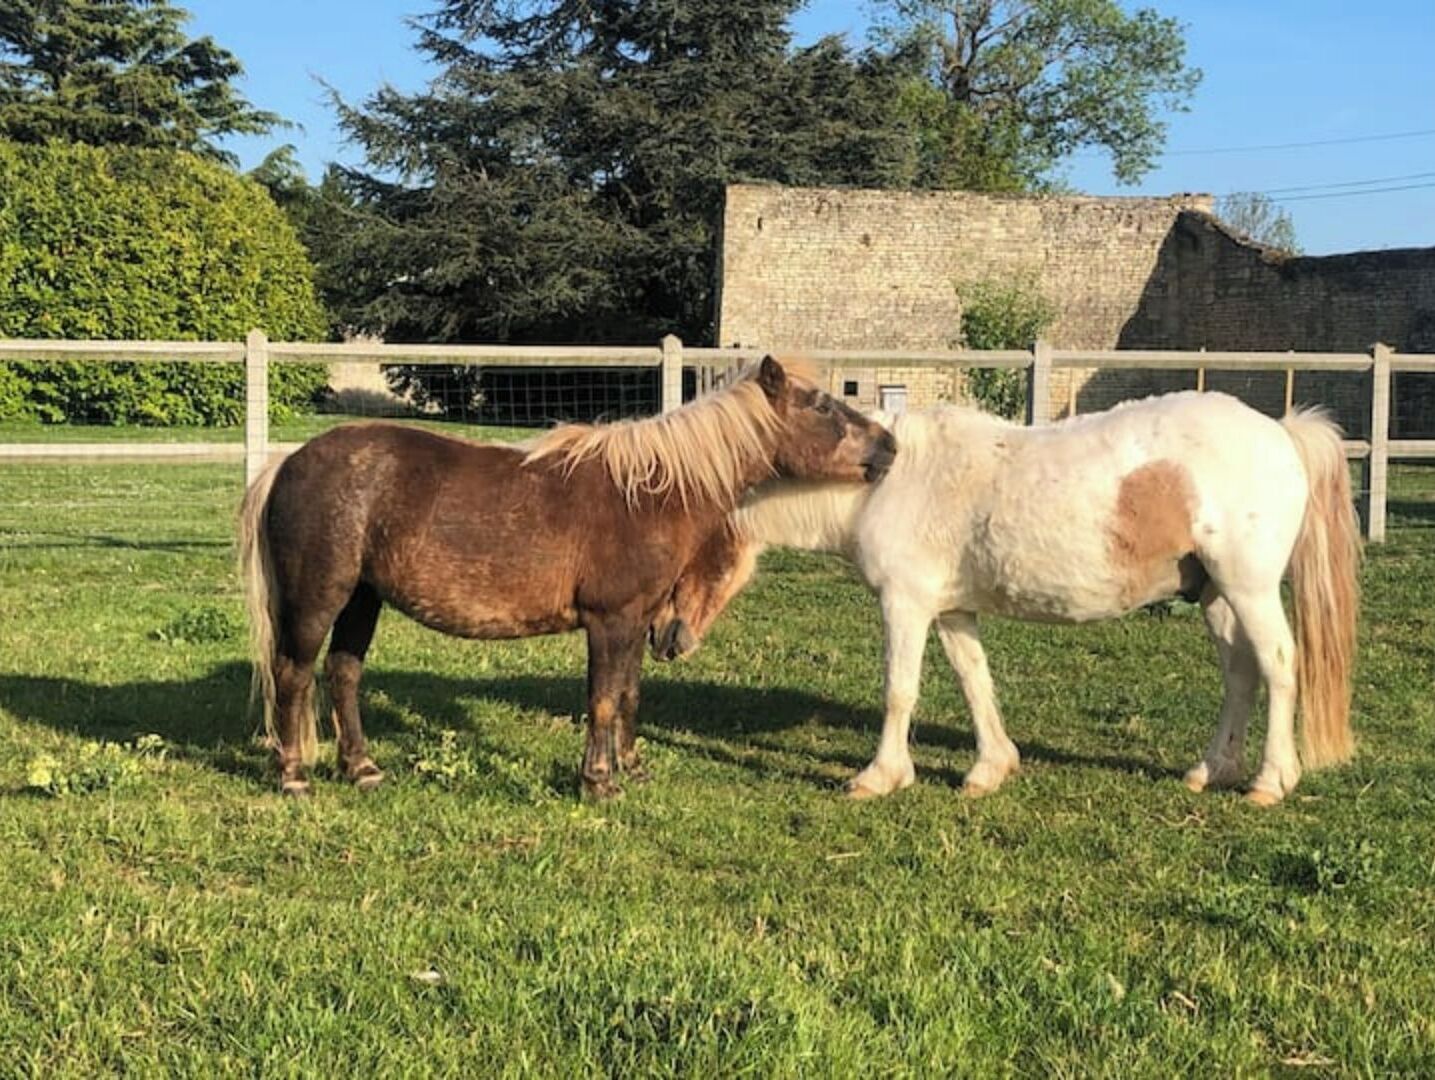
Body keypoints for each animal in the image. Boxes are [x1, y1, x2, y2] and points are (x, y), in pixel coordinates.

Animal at [237, 356, 897, 798]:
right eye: (822, 405)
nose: (889, 446)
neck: (648, 493)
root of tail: (288, 463)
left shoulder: (636, 622)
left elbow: (629, 694)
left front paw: (632, 768)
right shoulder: (611, 622)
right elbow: (603, 699)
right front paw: (599, 780)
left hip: (362, 599)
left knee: (343, 674)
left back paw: (362, 768)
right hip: (319, 597)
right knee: (294, 674)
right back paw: (294, 777)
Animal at [654, 391, 1361, 806]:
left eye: (678, 543)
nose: (664, 637)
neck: (888, 481)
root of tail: (1281, 431)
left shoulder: (905, 604)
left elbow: (900, 691)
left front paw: (880, 776)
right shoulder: (950, 610)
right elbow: (976, 681)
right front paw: (990, 770)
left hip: (1248, 587)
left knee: (1278, 665)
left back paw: (1270, 782)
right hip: (1213, 592)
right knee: (1240, 673)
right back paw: (1210, 769)